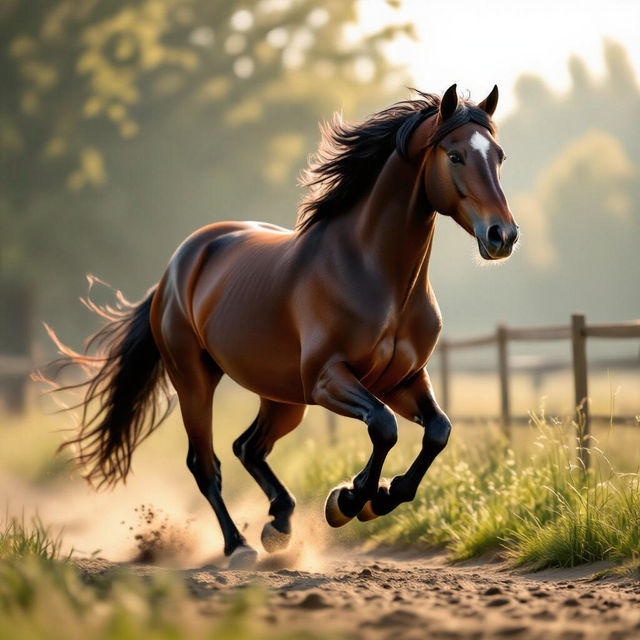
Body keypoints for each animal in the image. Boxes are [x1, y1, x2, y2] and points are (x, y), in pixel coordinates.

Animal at [42, 84, 518, 567]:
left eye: (498, 156)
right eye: (455, 155)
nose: (503, 236)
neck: (372, 273)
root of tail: (177, 266)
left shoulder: (403, 379)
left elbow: (438, 431)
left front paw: (380, 496)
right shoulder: (329, 380)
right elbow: (384, 427)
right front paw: (350, 500)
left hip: (282, 397)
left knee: (247, 447)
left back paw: (280, 522)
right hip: (195, 381)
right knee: (206, 464)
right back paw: (239, 545)